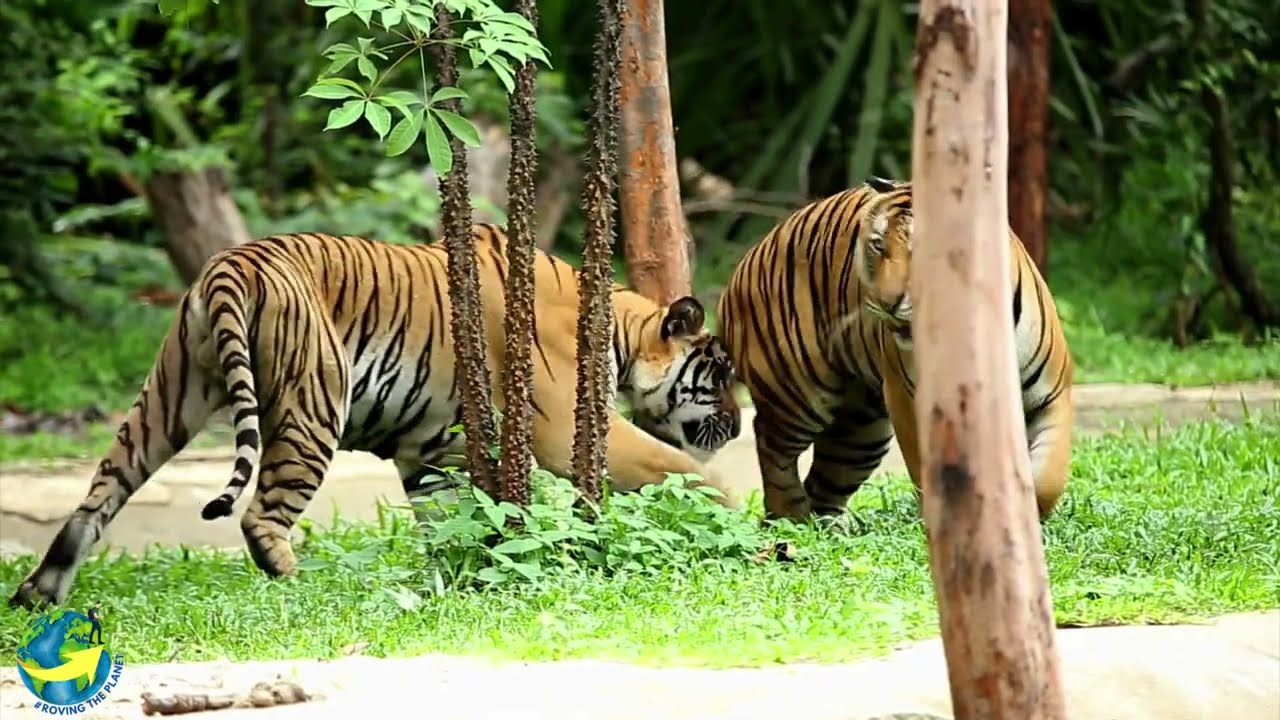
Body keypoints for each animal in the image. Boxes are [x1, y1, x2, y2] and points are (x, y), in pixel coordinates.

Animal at [9, 224, 743, 609]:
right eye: (722, 376)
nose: (738, 427)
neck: (618, 332)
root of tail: (230, 263)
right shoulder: (563, 428)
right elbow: (676, 469)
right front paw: (735, 521)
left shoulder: (434, 454)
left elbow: (451, 522)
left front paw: (464, 580)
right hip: (313, 404)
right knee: (259, 515)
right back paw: (299, 587)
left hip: (167, 398)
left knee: (95, 499)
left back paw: (39, 595)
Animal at [714, 176, 1074, 524]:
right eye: (878, 245)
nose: (887, 302)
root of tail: (745, 260)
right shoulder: (909, 399)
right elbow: (925, 466)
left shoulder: (1051, 395)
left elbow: (1049, 477)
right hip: (798, 395)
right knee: (770, 443)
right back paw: (789, 516)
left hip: (861, 432)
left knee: (825, 482)